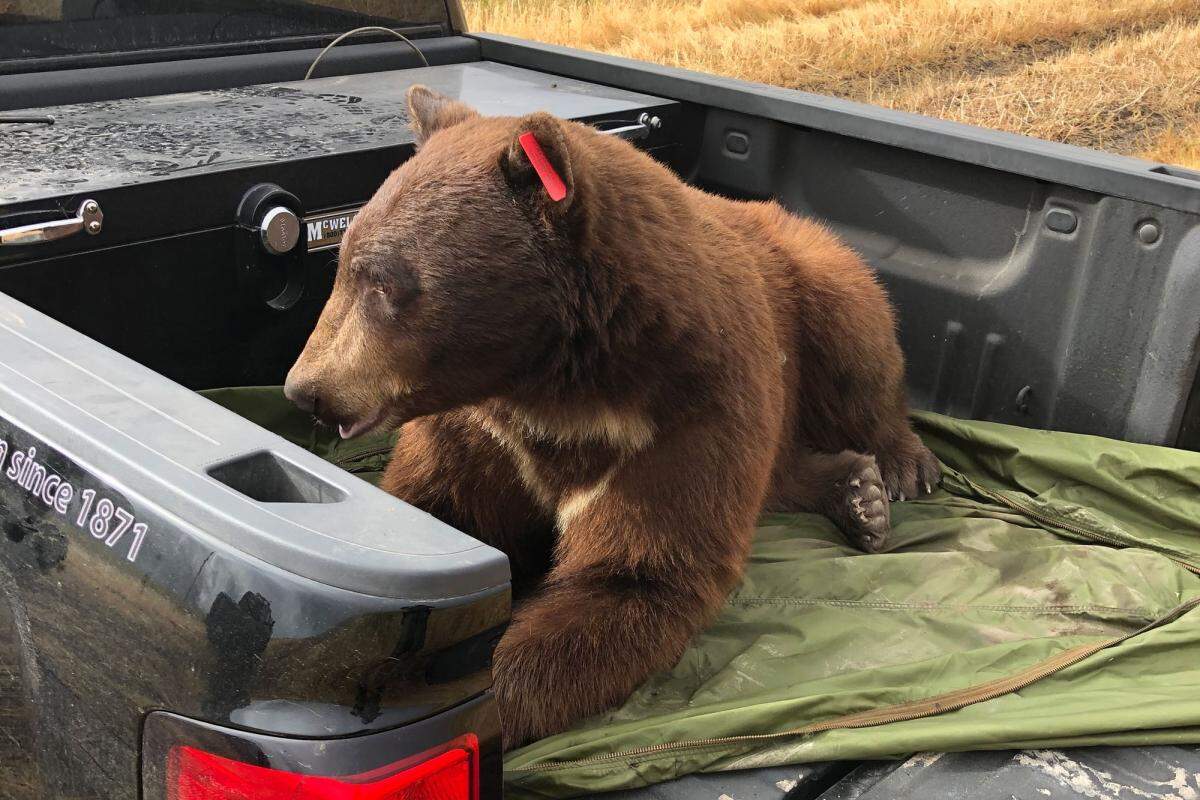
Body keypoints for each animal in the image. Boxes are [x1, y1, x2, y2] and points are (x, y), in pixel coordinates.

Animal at [283, 85, 940, 749]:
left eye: (385, 281)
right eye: (342, 264)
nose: (306, 389)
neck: (557, 387)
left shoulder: (681, 417)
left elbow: (635, 576)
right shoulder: (481, 433)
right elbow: (431, 520)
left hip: (816, 288)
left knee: (859, 356)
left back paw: (897, 471)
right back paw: (858, 493)